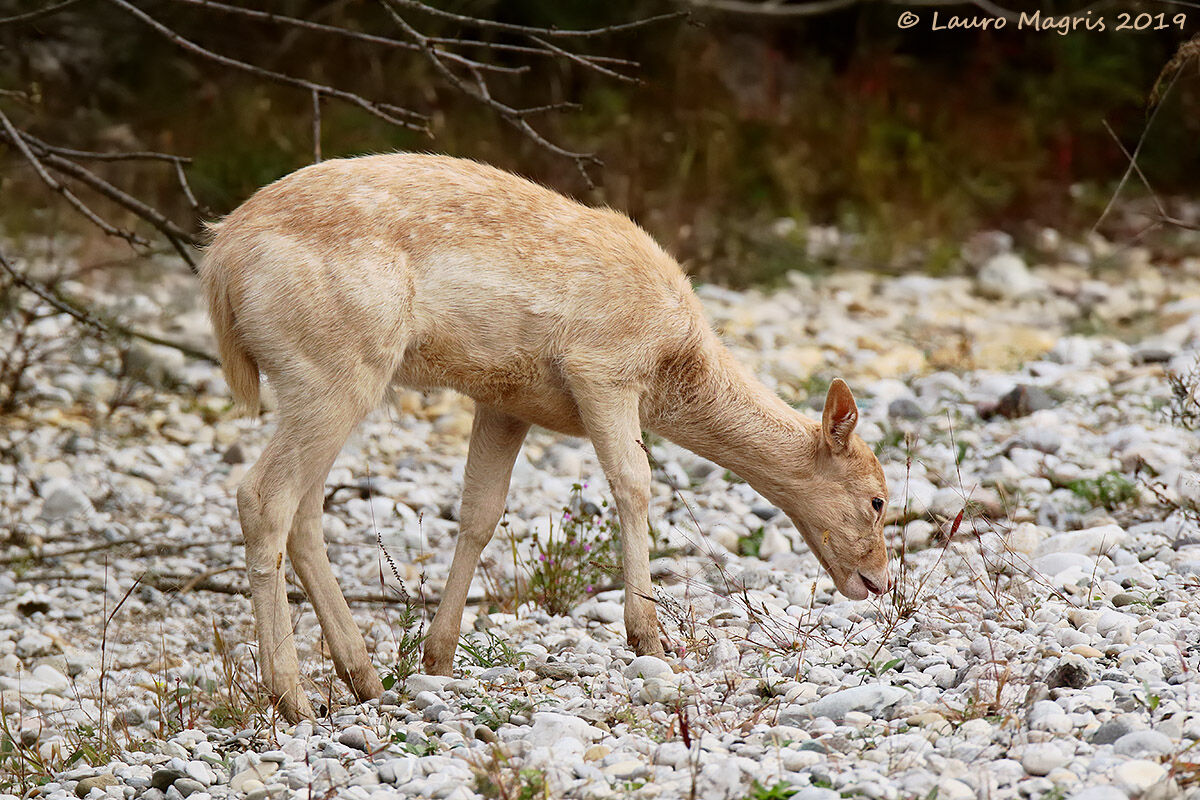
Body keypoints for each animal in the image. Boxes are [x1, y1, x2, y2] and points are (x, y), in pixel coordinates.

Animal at [199, 153, 893, 722]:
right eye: (878, 499)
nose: (880, 582)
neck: (674, 364)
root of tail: (220, 260)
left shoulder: (507, 400)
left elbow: (480, 513)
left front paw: (438, 657)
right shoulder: (603, 367)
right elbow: (634, 484)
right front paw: (648, 635)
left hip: (319, 379)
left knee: (305, 512)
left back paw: (362, 677)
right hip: (335, 365)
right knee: (263, 496)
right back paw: (291, 697)